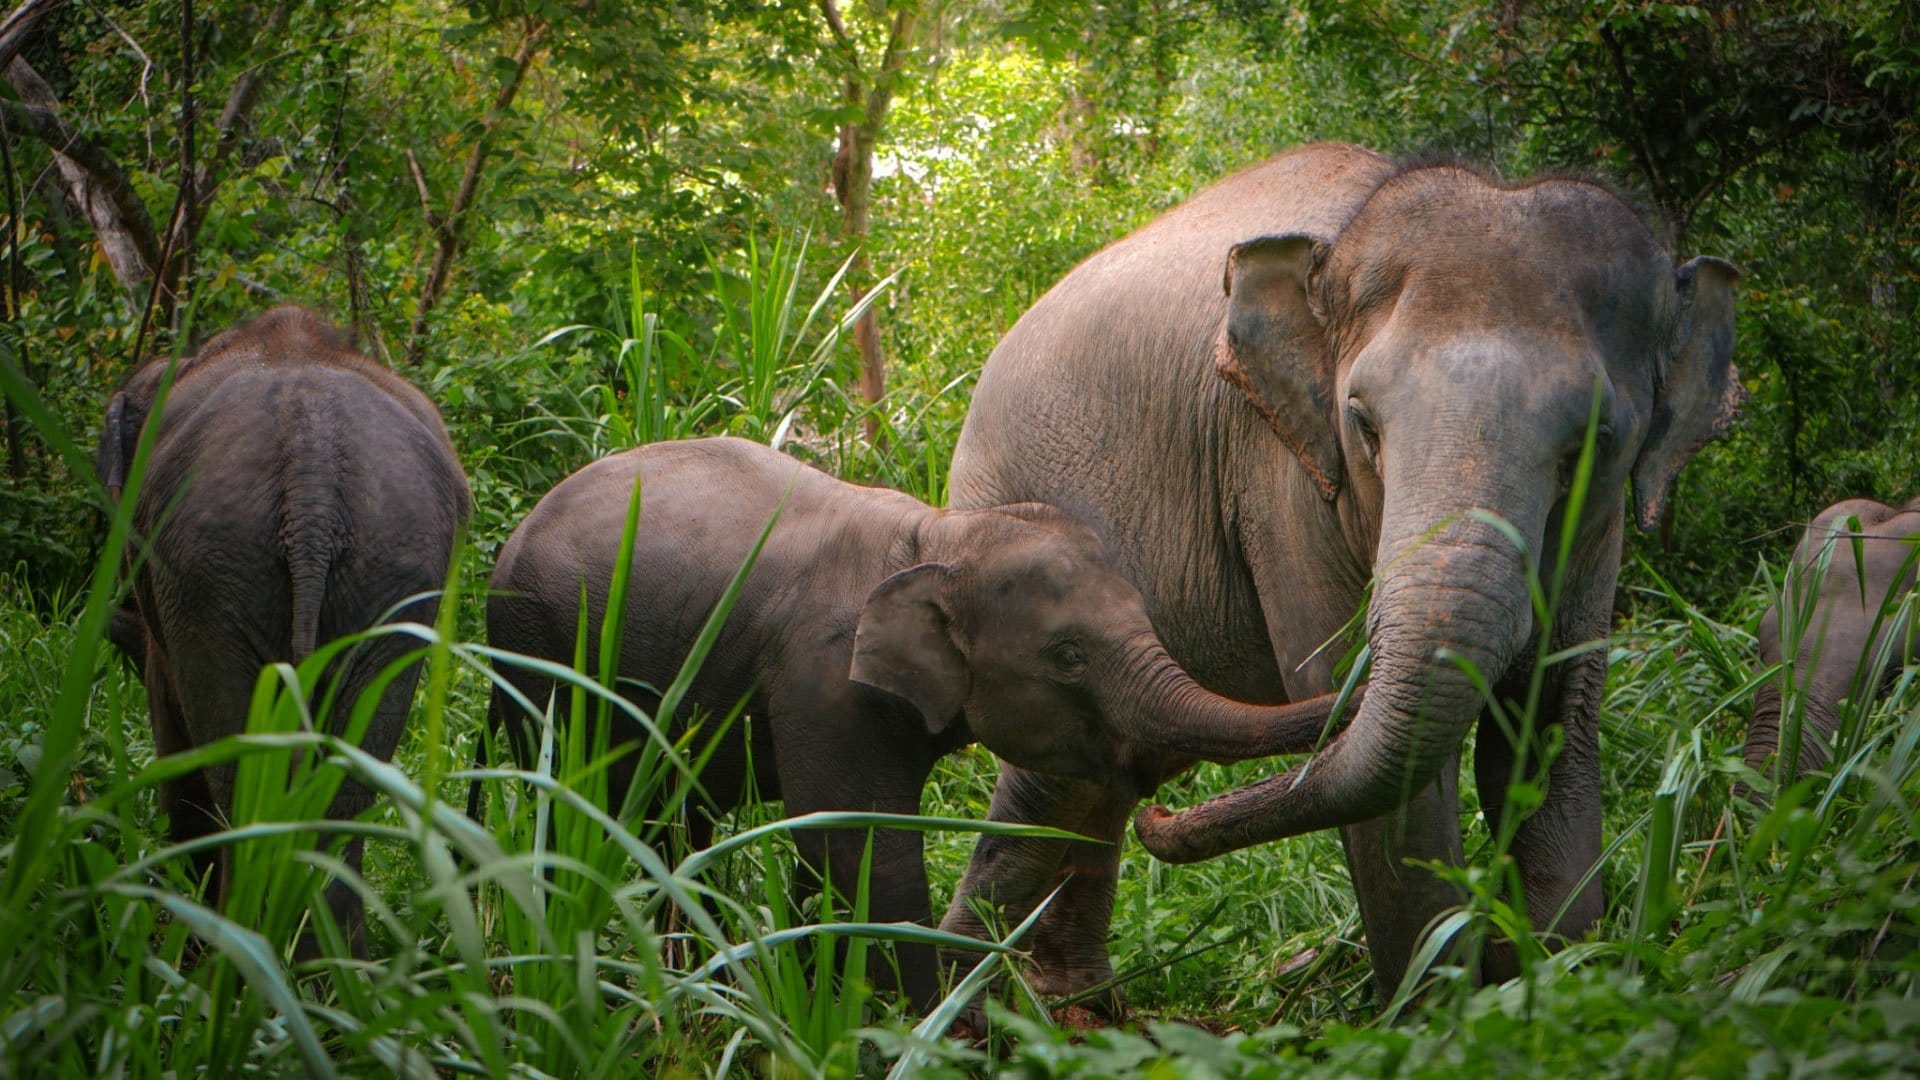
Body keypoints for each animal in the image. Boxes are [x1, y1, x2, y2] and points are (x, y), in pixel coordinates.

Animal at [98, 303, 472, 949]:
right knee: (341, 789)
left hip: (208, 571)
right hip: (389, 567)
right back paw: (329, 963)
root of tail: (311, 478)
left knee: (238, 774)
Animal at [480, 432, 1351, 1006]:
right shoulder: (822, 682)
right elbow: (857, 841)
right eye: (1068, 656)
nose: (1157, 806)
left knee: (668, 822)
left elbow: (826, 848)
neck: (938, 536)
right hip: (535, 652)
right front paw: (919, 1027)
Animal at [936, 143, 1751, 999]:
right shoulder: (1276, 471)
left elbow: (1551, 719)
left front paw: (1556, 983)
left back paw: (1076, 1005)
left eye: (1594, 441)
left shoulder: (1601, 527)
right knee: (1052, 778)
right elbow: (1370, 735)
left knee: (1103, 774)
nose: (1171, 827)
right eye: (1362, 424)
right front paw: (1436, 1008)